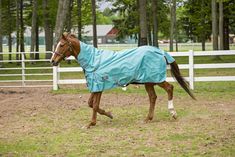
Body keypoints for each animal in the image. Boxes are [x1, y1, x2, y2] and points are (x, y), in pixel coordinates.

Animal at [51, 32, 196, 128]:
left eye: (62, 45)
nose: (52, 61)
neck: (93, 61)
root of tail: (161, 52)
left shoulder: (99, 86)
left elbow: (95, 105)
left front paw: (92, 123)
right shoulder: (95, 86)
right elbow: (90, 104)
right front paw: (109, 114)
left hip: (155, 79)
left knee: (169, 88)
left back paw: (173, 113)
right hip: (148, 82)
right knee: (153, 97)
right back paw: (147, 119)